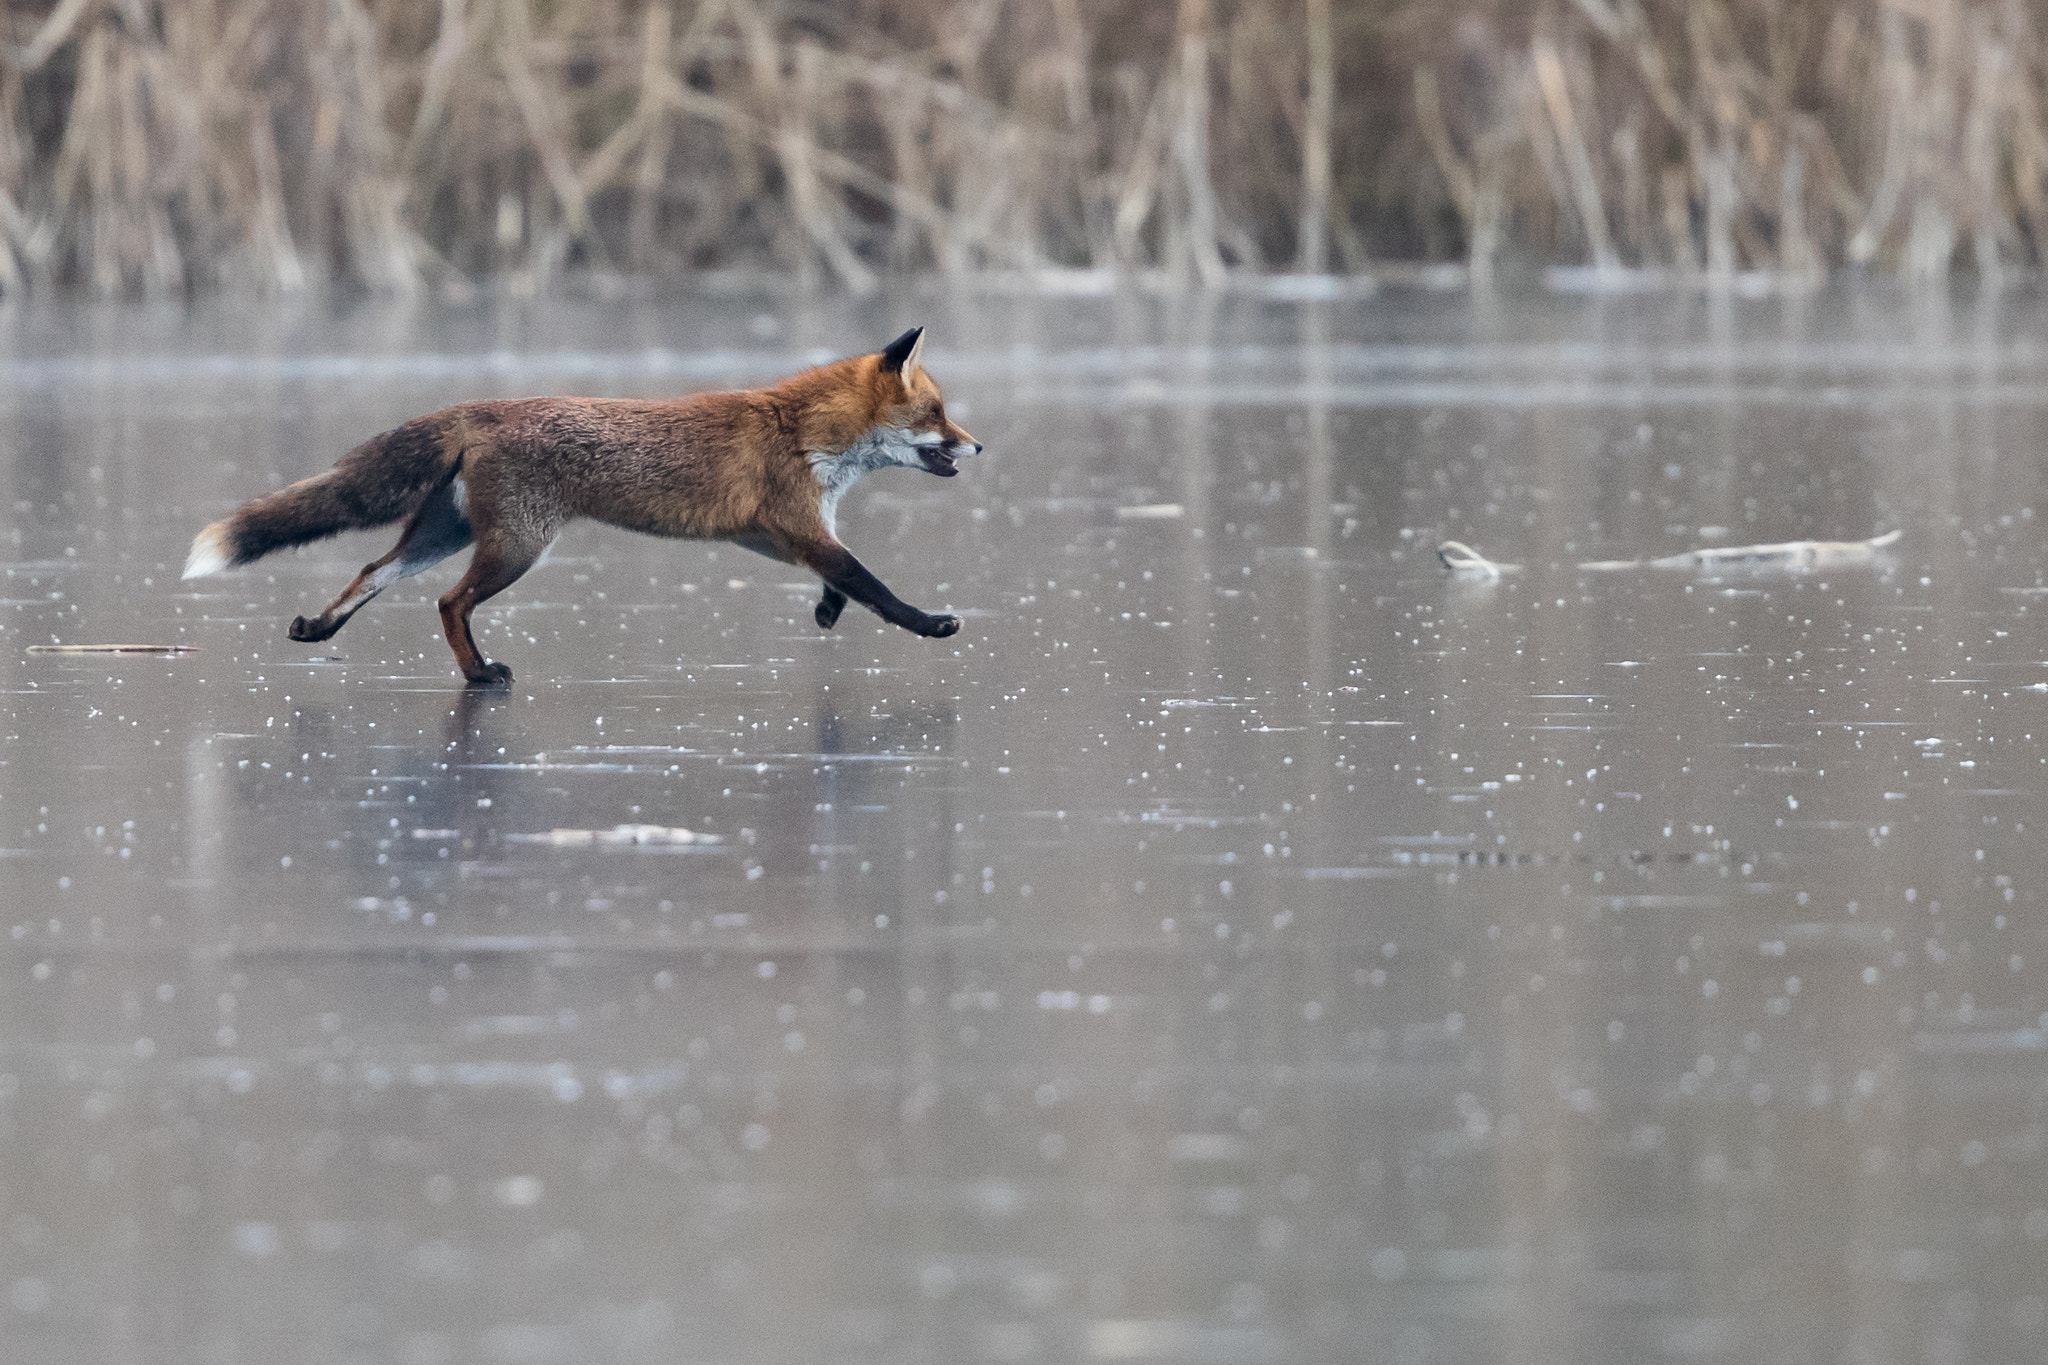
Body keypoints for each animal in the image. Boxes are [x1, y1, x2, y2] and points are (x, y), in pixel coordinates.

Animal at [180, 321, 978, 683]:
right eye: (939, 414)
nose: (977, 447)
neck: (808, 431)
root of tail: (481, 408)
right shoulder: (798, 523)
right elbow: (875, 586)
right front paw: (931, 623)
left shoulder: (770, 531)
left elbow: (841, 580)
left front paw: (825, 612)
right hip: (517, 548)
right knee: (449, 602)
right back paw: (479, 674)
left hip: (442, 534)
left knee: (371, 572)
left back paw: (318, 628)